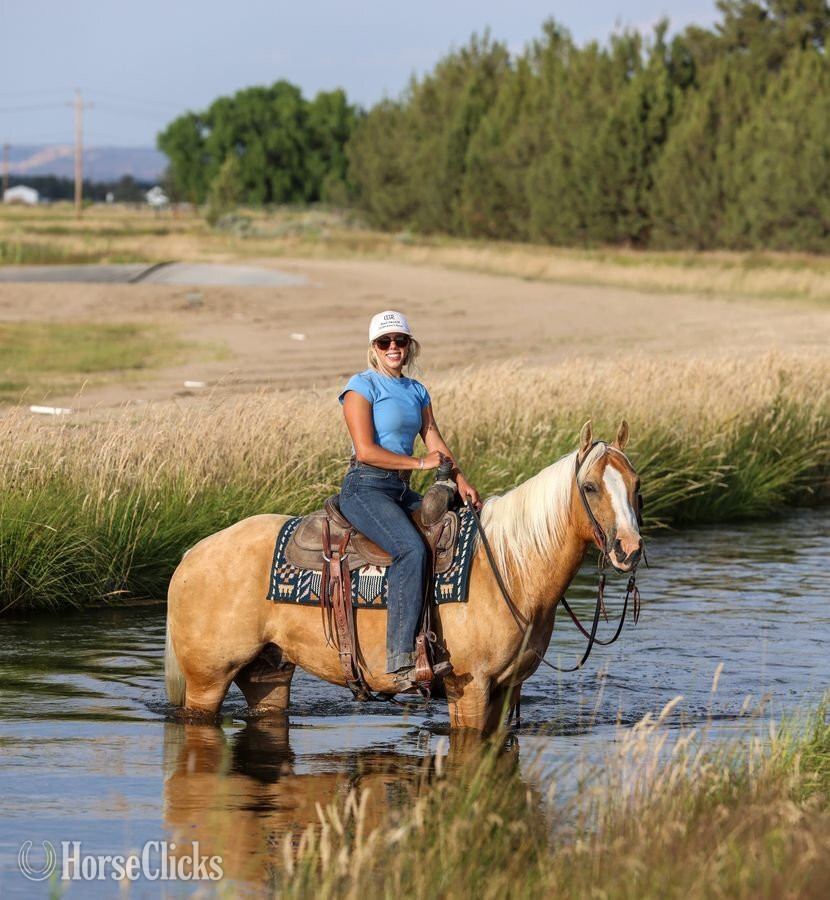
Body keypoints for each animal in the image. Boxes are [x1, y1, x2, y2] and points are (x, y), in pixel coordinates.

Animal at [164, 420, 644, 734]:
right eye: (590, 487)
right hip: (208, 680)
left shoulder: (508, 689)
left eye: (637, 484)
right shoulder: (470, 690)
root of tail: (191, 555)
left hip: (269, 673)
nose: (629, 549)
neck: (510, 568)